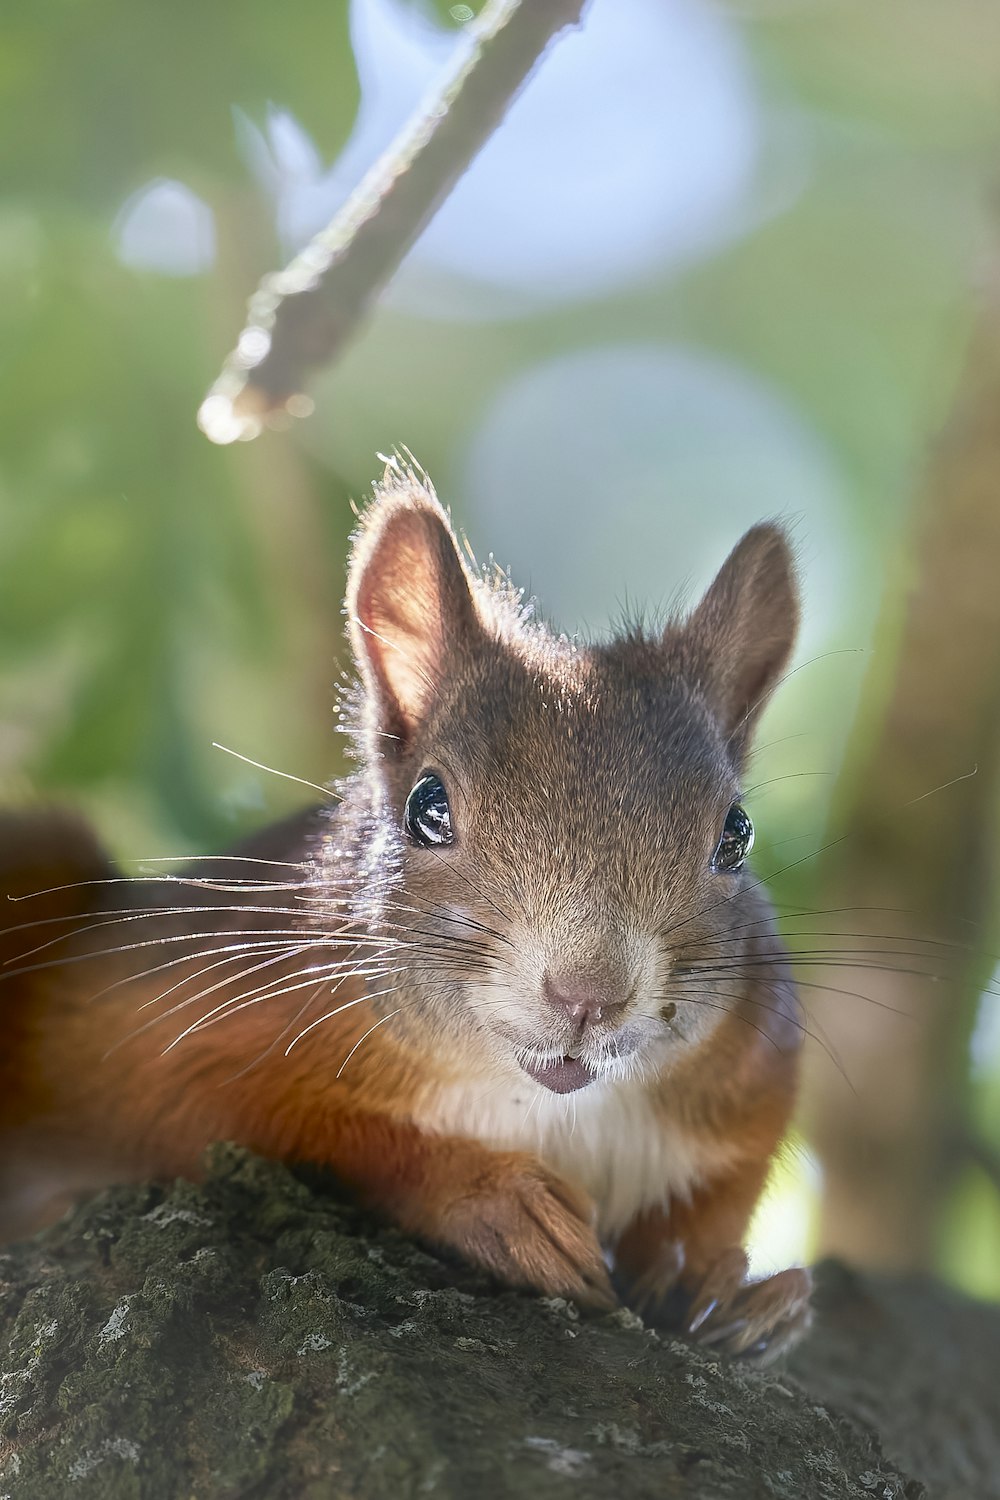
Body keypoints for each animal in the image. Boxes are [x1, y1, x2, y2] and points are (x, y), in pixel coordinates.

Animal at [0, 465, 815, 1362]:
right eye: (429, 807)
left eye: (736, 836)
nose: (587, 994)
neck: (550, 1108)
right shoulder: (185, 1026)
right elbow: (270, 1127)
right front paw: (494, 1200)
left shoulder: (752, 1074)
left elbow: (722, 1194)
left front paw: (717, 1284)